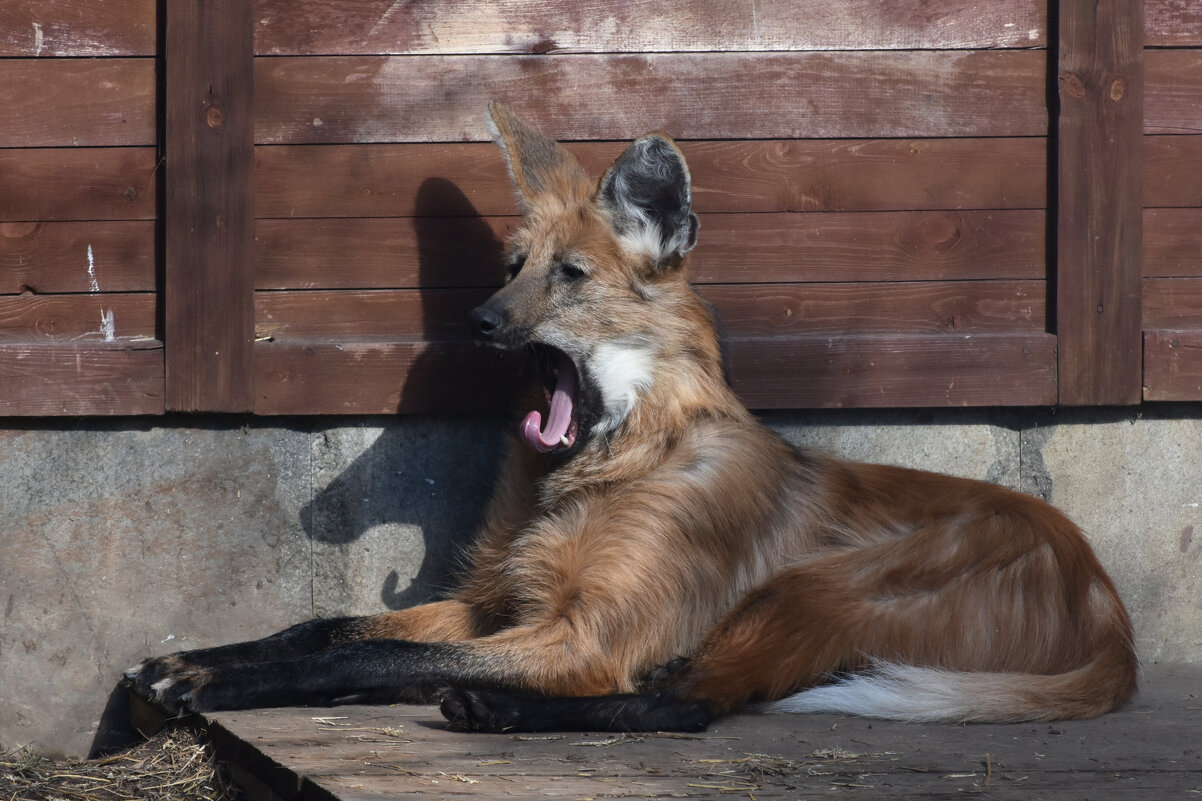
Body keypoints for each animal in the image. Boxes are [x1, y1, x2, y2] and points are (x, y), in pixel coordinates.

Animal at [129, 101, 1134, 731]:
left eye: (569, 277)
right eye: (512, 268)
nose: (477, 321)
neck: (606, 464)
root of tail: (1107, 609)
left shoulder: (584, 636)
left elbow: (365, 657)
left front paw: (210, 676)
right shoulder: (499, 603)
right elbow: (333, 629)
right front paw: (195, 660)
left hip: (813, 590)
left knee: (682, 706)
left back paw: (497, 709)